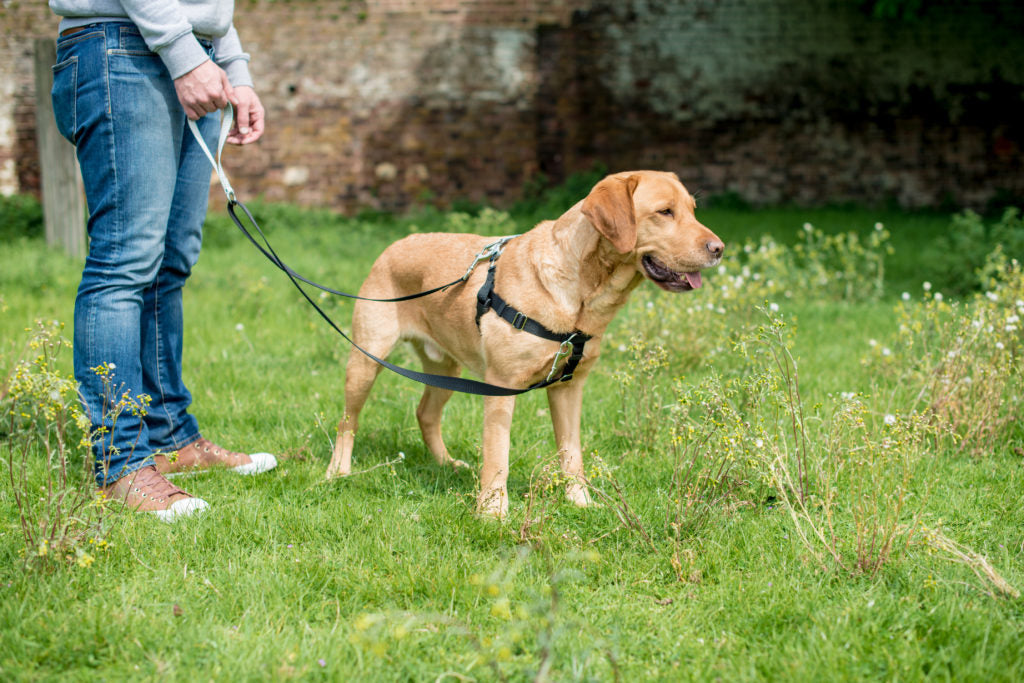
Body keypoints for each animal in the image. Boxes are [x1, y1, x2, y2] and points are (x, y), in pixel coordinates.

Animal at [325, 171, 720, 518]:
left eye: (693, 209)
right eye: (664, 212)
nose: (719, 248)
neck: (581, 292)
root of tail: (395, 243)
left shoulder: (569, 387)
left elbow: (572, 454)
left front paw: (580, 502)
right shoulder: (500, 386)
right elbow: (498, 455)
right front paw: (492, 511)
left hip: (446, 369)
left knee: (425, 414)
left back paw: (446, 464)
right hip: (366, 361)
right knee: (347, 421)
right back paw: (338, 471)